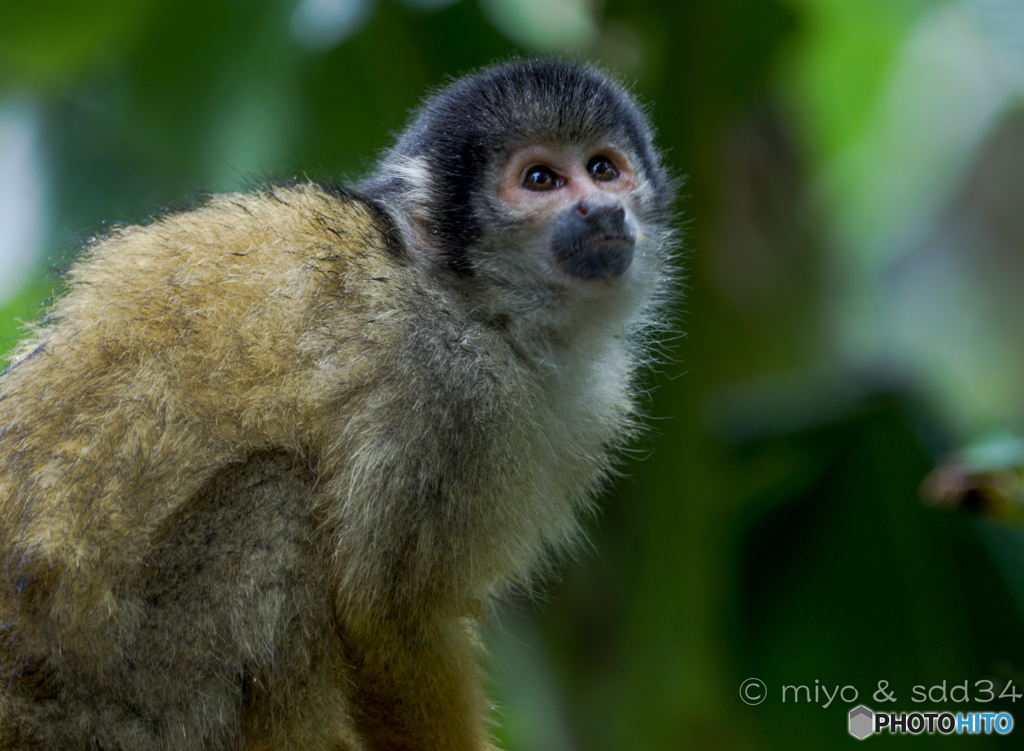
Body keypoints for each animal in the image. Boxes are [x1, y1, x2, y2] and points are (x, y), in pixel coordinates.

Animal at [0, 59, 675, 749]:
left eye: (603, 168)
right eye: (541, 180)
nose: (603, 209)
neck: (474, 303)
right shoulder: (439, 386)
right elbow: (386, 614)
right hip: (124, 699)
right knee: (273, 498)